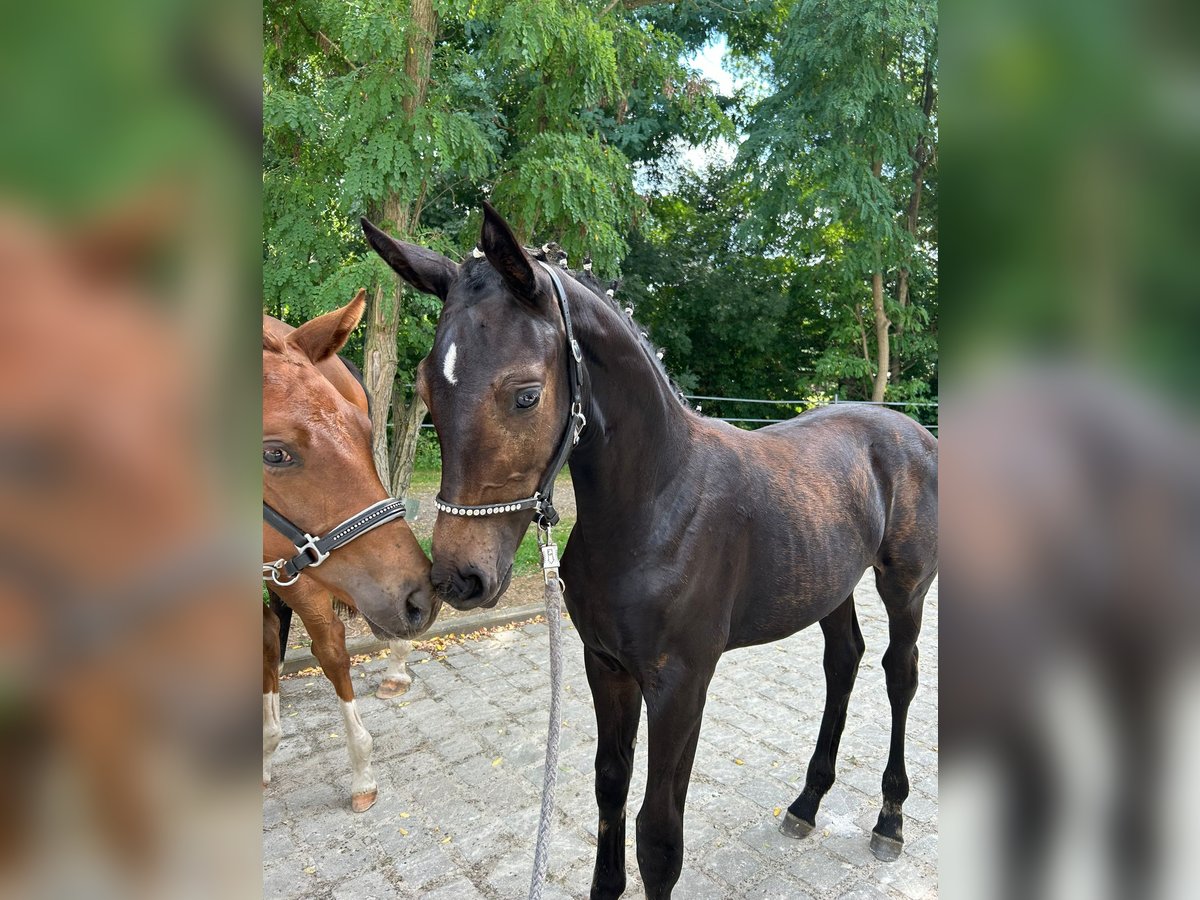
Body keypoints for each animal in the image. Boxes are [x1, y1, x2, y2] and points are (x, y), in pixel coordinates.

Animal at [360, 207, 940, 897]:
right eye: (426, 387)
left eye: (526, 394)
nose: (459, 578)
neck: (657, 505)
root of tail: (912, 429)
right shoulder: (606, 667)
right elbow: (609, 786)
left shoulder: (682, 683)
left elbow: (660, 835)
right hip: (829, 583)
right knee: (843, 660)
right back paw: (805, 804)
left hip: (904, 586)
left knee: (900, 674)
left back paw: (890, 819)